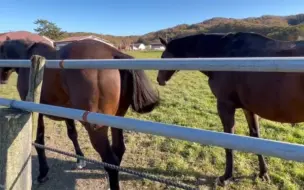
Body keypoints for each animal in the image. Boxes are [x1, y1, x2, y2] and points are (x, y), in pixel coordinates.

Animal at [0, 37, 160, 189]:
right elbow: (72, 134)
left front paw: (43, 172)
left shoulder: (37, 111)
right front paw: (80, 159)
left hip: (96, 129)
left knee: (110, 161)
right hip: (117, 120)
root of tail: (114, 53)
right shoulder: (67, 110)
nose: (2, 79)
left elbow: (39, 140)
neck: (27, 58)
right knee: (119, 151)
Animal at [158, 31, 304, 186]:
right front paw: (263, 173)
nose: (159, 79)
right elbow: (256, 137)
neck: (222, 54)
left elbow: (229, 139)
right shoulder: (248, 109)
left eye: (163, 57)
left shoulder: (225, 105)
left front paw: (226, 177)